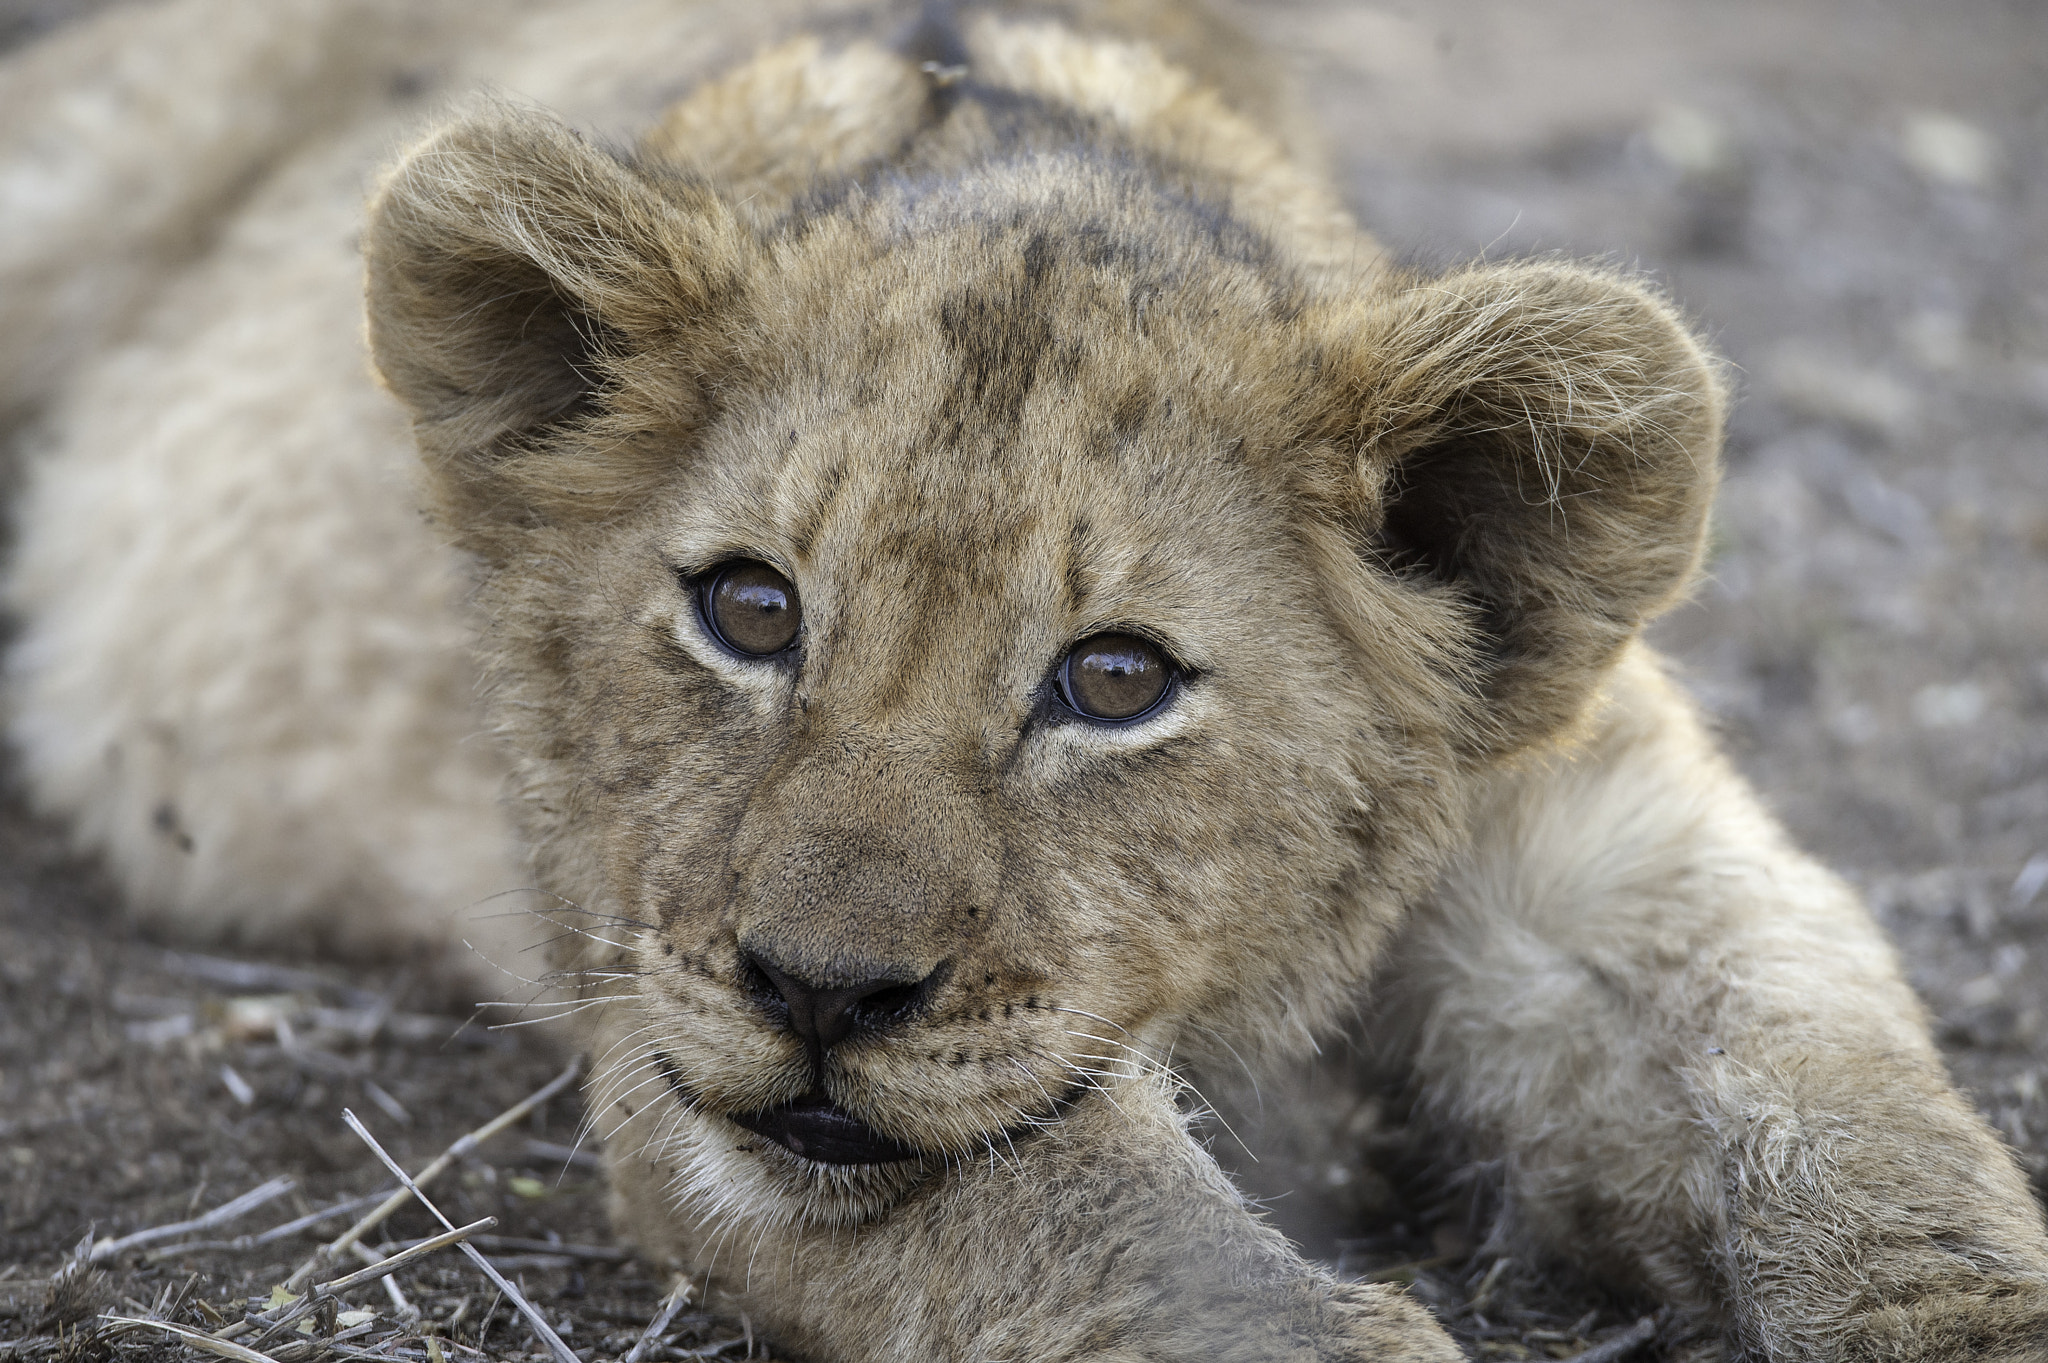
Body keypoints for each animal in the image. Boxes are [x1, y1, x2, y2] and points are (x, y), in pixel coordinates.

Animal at [5, 1, 2047, 1358]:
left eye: (1114, 678)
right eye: (750, 611)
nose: (819, 993)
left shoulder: (1619, 853)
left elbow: (1848, 1121)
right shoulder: (673, 1047)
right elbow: (1129, 1234)